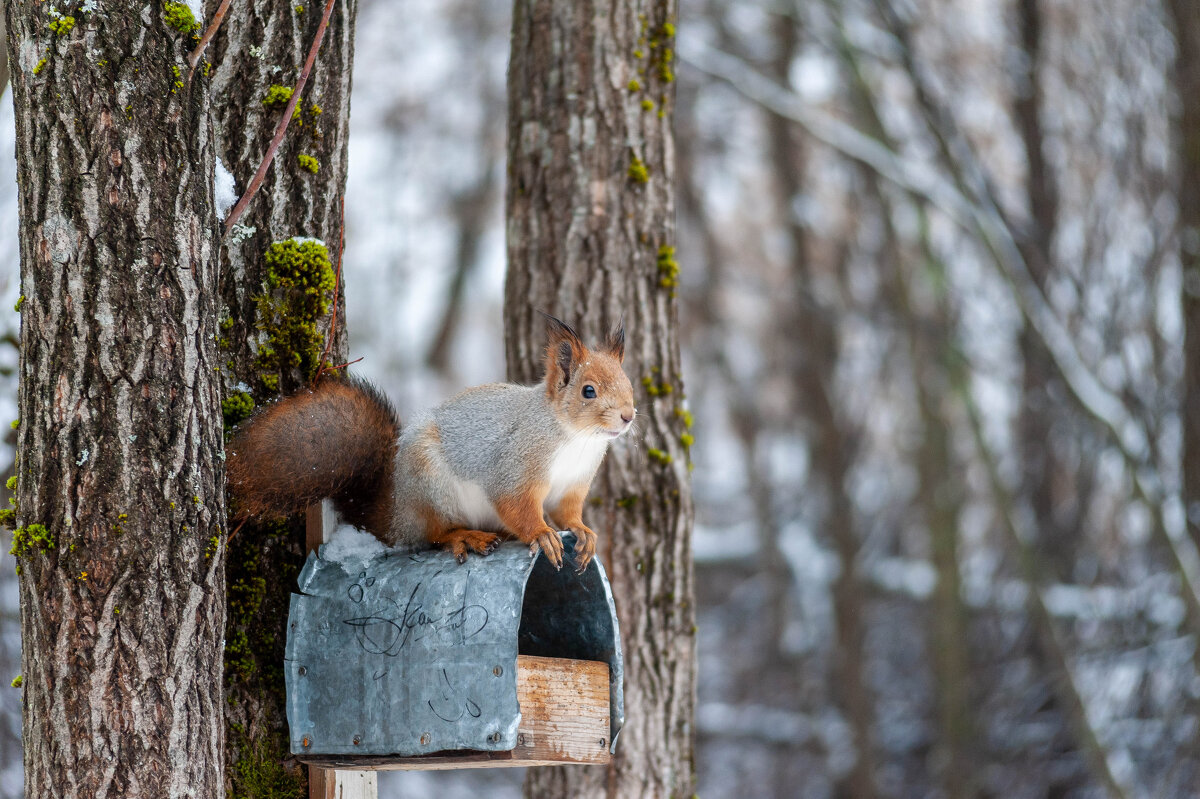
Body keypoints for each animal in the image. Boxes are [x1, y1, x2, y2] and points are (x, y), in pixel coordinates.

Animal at [226, 314, 638, 568]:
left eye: (629, 384)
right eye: (588, 391)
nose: (628, 416)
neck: (576, 439)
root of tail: (399, 514)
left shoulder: (574, 484)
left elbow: (567, 513)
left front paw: (584, 533)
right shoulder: (517, 467)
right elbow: (516, 505)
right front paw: (541, 534)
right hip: (432, 487)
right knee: (434, 535)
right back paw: (466, 537)